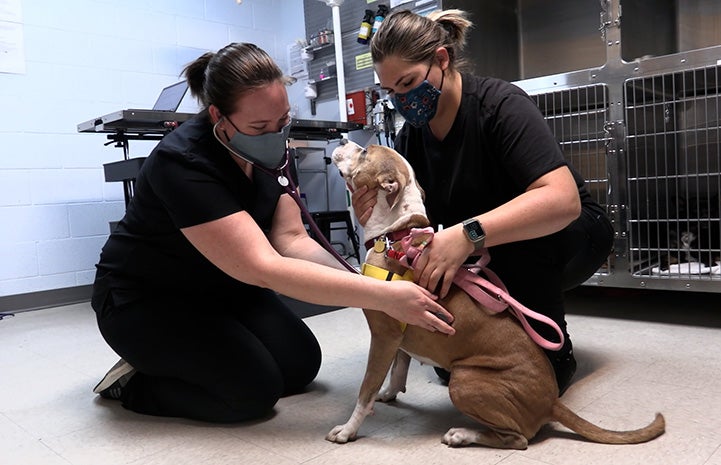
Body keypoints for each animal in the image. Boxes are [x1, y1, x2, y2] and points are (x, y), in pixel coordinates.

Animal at [326, 140, 664, 448]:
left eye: (365, 151)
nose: (341, 139)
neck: (397, 235)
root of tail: (551, 401)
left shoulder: (383, 335)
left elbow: (366, 389)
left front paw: (348, 429)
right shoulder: (398, 333)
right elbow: (398, 370)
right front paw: (389, 394)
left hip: (464, 379)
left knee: (518, 439)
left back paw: (462, 434)